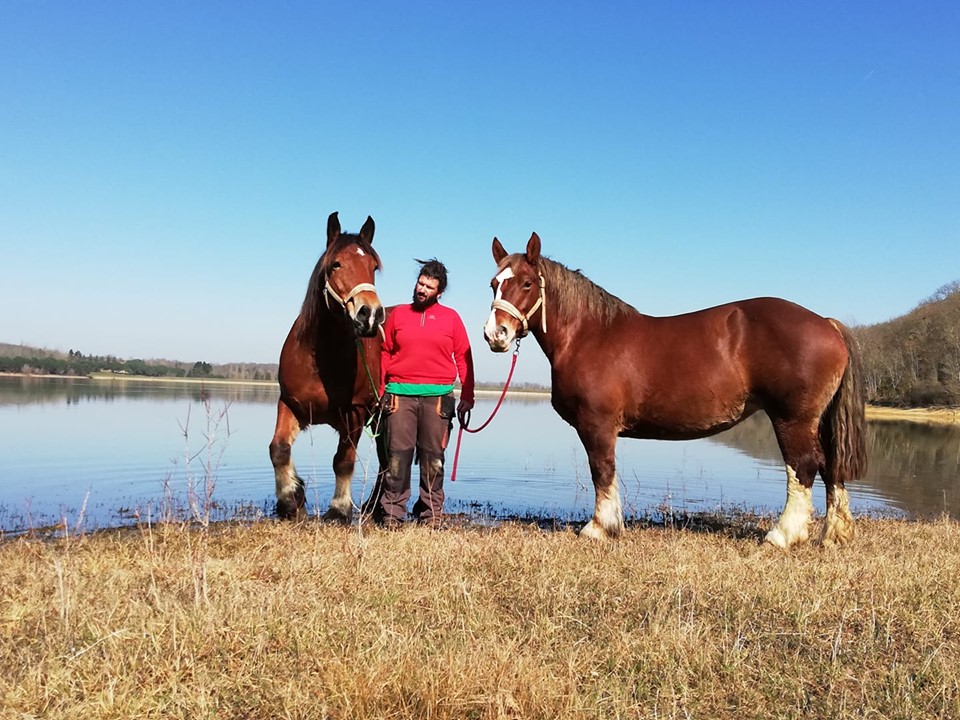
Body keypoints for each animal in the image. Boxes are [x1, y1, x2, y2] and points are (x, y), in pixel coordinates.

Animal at [270, 212, 386, 522]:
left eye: (373, 267)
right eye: (336, 264)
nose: (370, 314)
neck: (319, 358)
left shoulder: (355, 414)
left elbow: (343, 461)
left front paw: (339, 509)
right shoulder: (290, 404)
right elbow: (279, 449)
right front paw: (291, 498)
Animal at [483, 232, 868, 548]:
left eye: (528, 283)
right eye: (493, 284)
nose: (495, 334)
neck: (589, 335)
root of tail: (827, 324)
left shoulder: (597, 425)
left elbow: (601, 470)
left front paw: (599, 528)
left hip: (792, 418)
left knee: (804, 466)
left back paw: (782, 535)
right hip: (817, 420)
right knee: (831, 465)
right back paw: (834, 533)